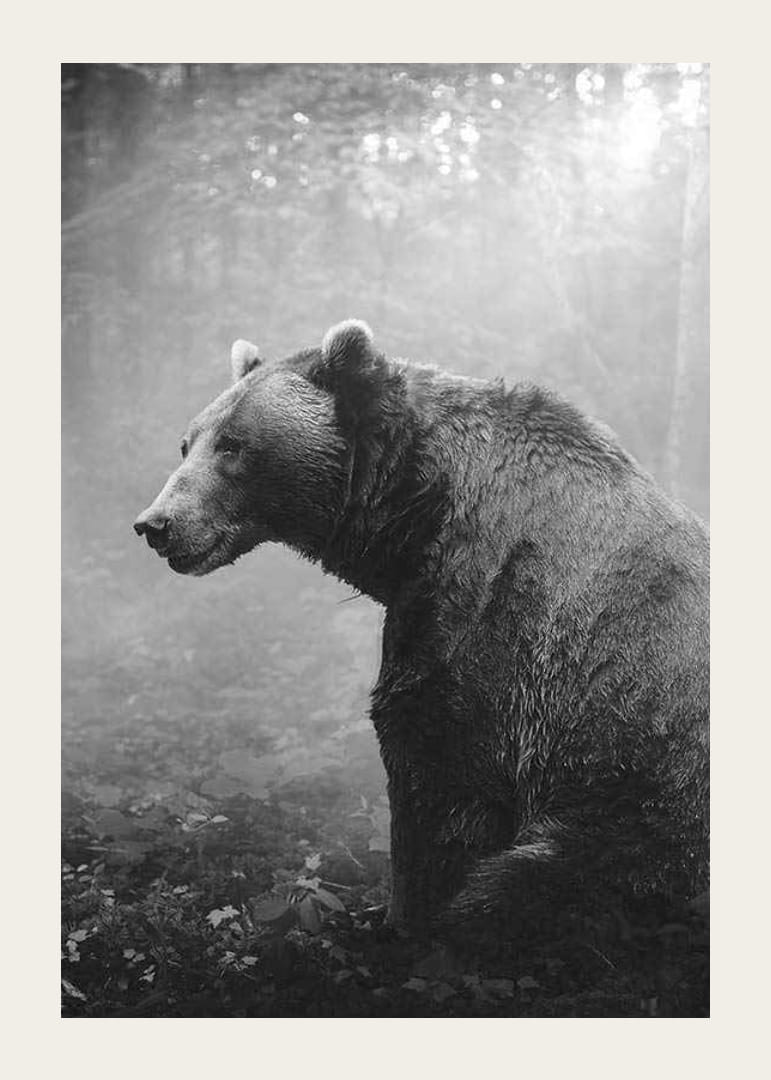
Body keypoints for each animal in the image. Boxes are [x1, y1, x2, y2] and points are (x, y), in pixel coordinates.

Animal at [134, 320, 709, 937]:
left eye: (234, 445)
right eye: (188, 442)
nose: (156, 524)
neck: (415, 515)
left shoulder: (492, 621)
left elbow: (438, 778)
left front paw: (401, 918)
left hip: (642, 815)